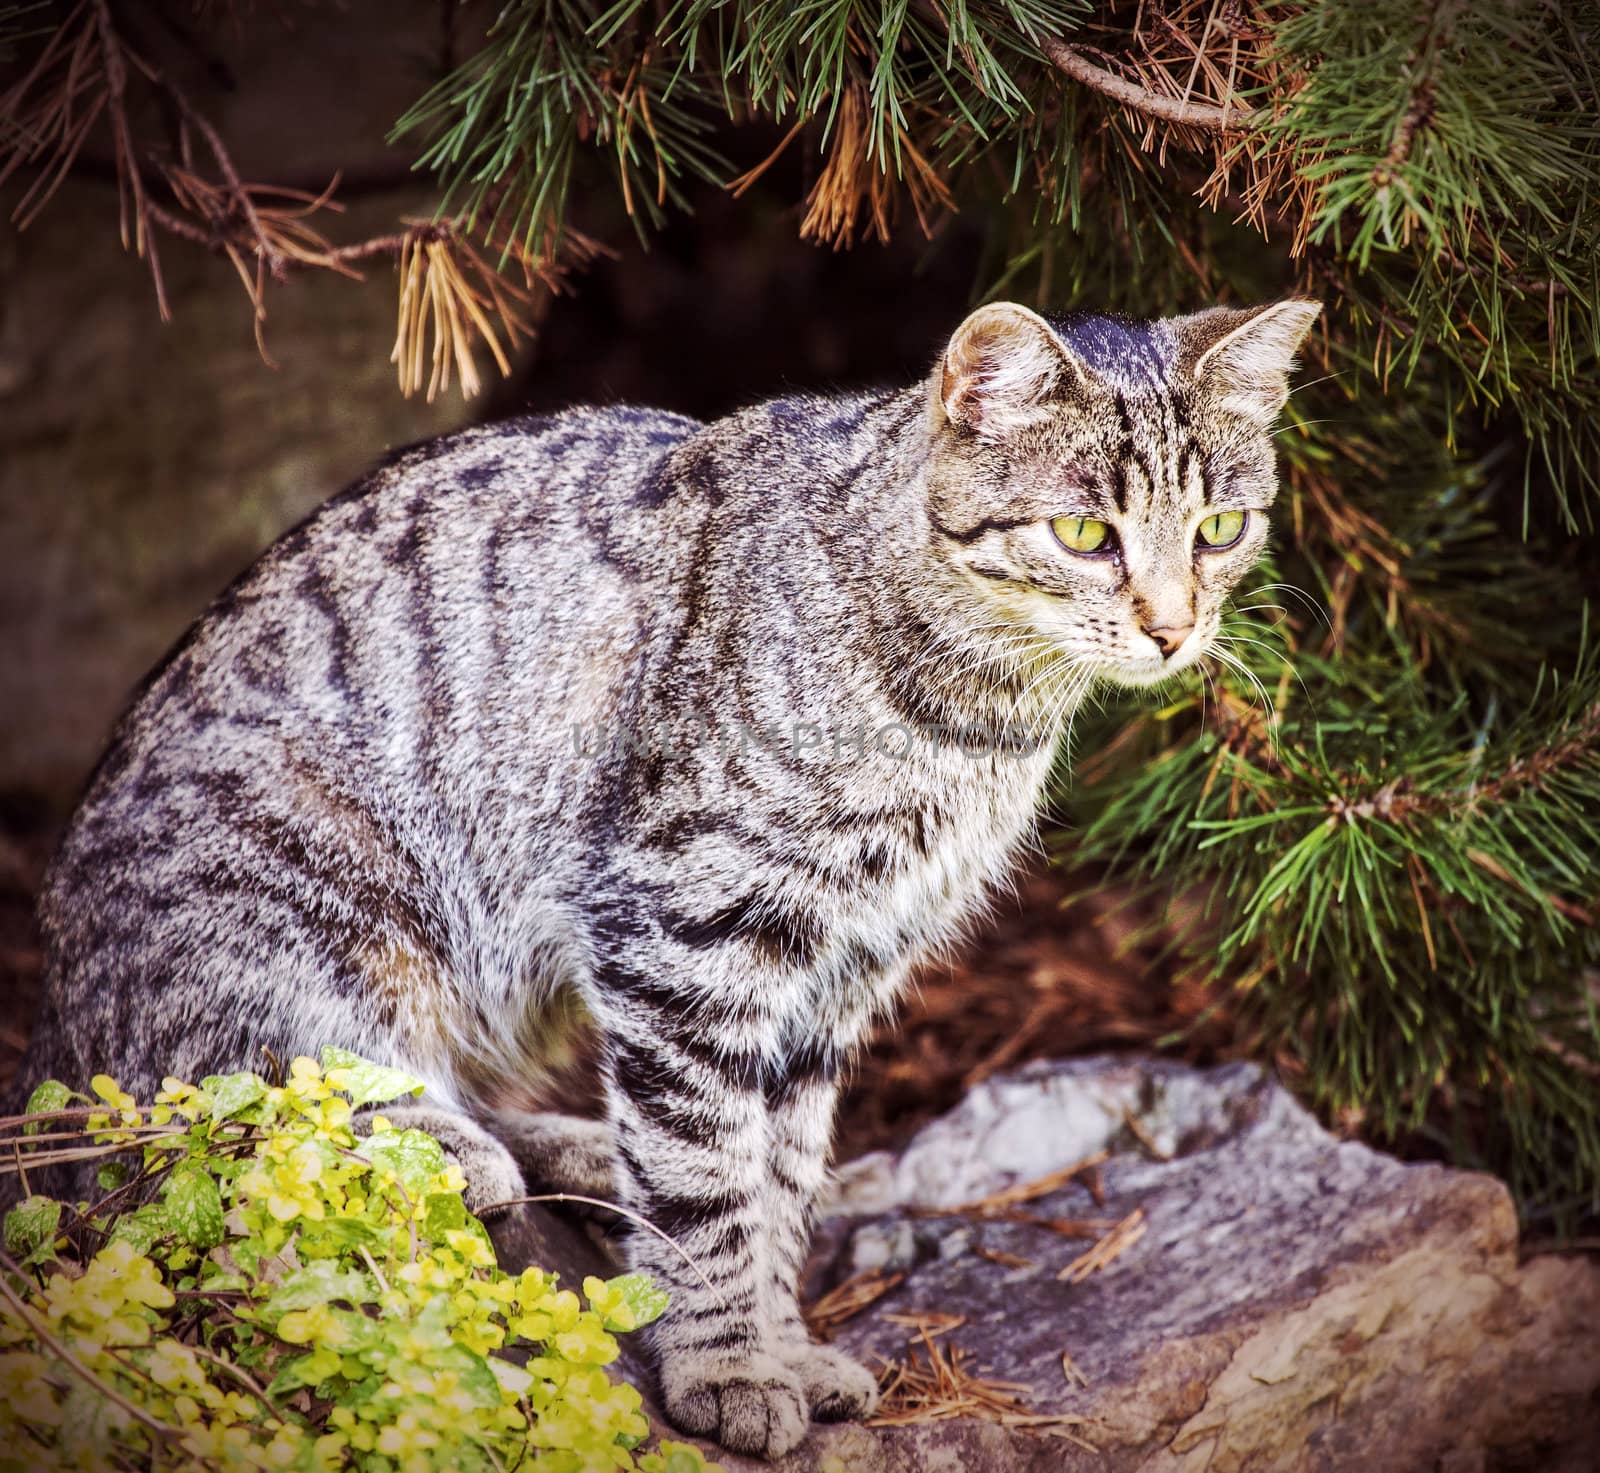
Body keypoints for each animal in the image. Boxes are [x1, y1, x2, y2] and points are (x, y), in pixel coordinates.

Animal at [25, 295, 1318, 1445]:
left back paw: (575, 1148)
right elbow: (708, 1181)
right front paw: (728, 1366)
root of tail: (47, 1018)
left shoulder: (841, 969)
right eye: (1086, 536)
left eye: (1220, 529)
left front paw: (781, 1340)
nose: (1173, 628)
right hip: (307, 896)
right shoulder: (690, 930)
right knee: (213, 1103)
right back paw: (441, 1138)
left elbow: (779, 1180)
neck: (974, 718)